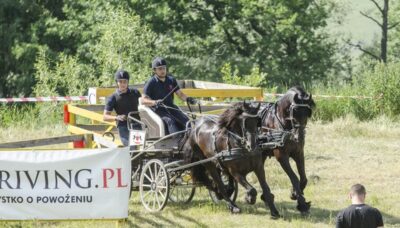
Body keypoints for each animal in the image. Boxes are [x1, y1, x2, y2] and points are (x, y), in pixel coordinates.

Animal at [260, 86, 316, 214]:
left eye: (307, 112)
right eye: (294, 112)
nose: (298, 137)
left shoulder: (299, 153)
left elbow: (303, 178)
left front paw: (295, 194)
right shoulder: (282, 157)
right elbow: (294, 178)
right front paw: (302, 203)